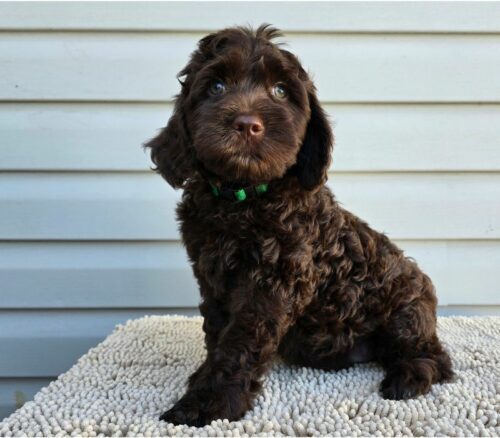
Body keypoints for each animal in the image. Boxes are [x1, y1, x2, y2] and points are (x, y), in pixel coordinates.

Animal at [146, 25, 454, 426]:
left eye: (280, 91)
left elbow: (239, 341)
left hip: (406, 308)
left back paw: (408, 378)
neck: (241, 198)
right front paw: (203, 378)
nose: (247, 125)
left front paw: (209, 402)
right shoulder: (211, 274)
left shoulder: (274, 279)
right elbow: (217, 330)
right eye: (216, 87)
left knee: (433, 354)